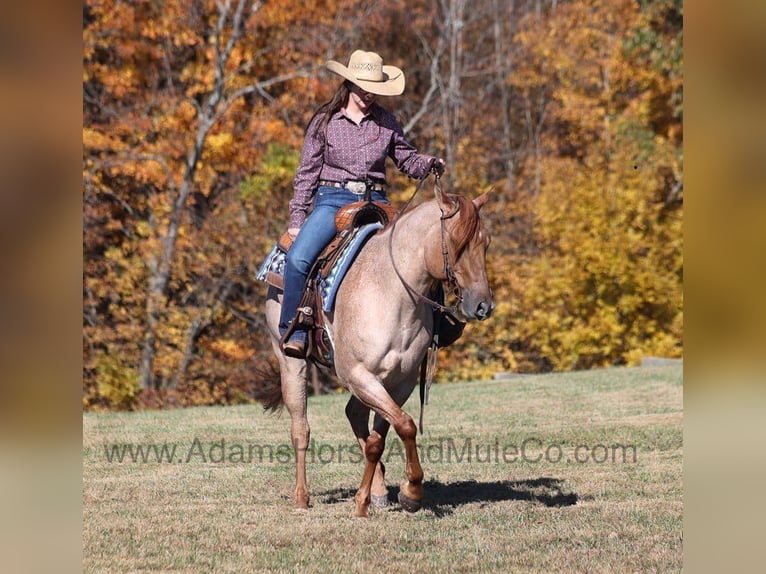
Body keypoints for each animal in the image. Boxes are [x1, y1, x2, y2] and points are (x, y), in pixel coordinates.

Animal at [263, 181, 493, 518]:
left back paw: (379, 489)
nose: (483, 306)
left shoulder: (400, 380)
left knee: (354, 414)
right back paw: (301, 497)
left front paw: (386, 495)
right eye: (456, 242)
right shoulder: (359, 374)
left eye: (485, 243)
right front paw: (407, 492)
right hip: (291, 362)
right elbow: (404, 425)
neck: (391, 292)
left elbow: (382, 436)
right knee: (300, 429)